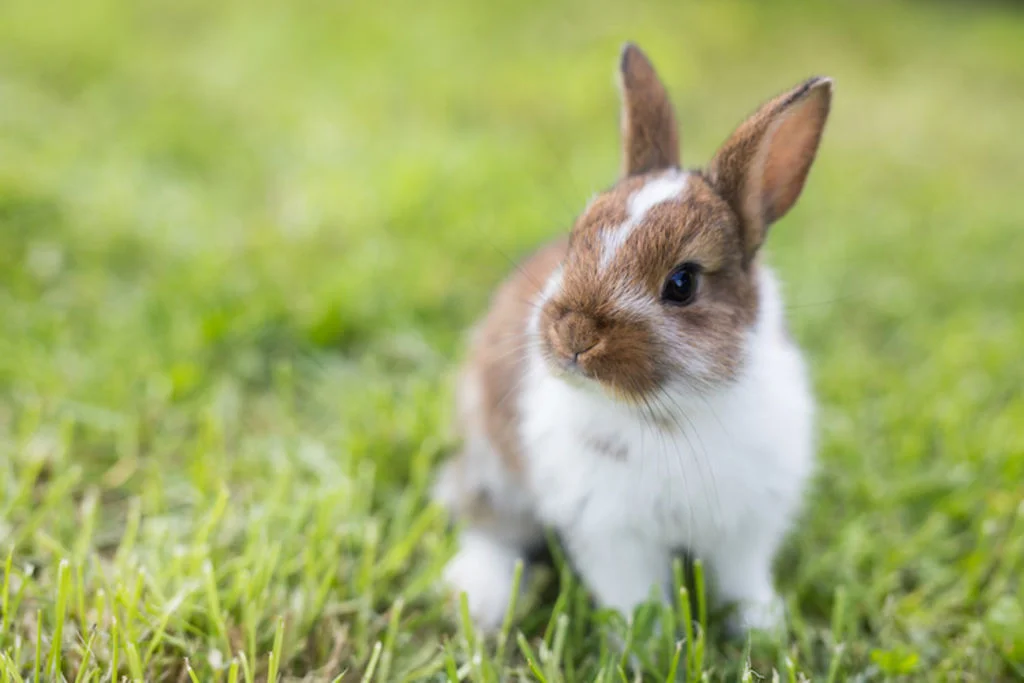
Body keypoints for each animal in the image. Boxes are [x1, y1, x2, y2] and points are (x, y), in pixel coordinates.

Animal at [433, 42, 831, 636]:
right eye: (575, 241)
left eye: (682, 283)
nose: (573, 334)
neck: (674, 410)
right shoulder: (611, 532)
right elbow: (635, 598)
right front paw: (647, 643)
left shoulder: (746, 530)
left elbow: (742, 583)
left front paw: (762, 632)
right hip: (492, 465)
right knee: (490, 527)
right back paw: (479, 597)